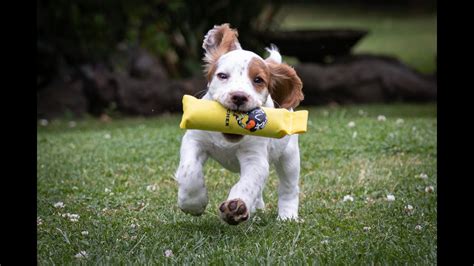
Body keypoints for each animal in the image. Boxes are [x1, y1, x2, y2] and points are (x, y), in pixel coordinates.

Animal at [175, 24, 304, 224]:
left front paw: (236, 207)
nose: (239, 96)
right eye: (222, 75)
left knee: (288, 188)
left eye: (258, 80)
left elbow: (247, 184)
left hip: (289, 156)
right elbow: (189, 171)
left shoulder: (255, 158)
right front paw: (193, 203)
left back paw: (287, 216)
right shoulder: (195, 140)